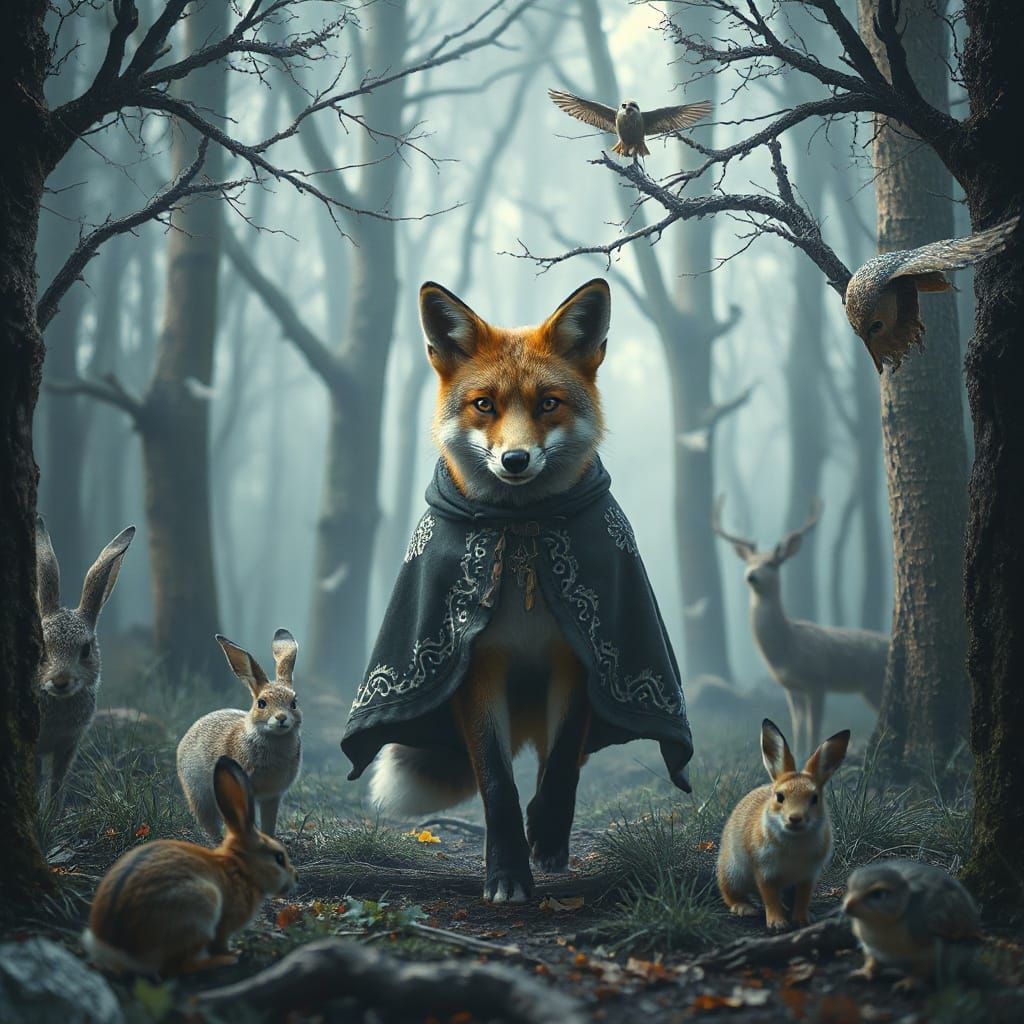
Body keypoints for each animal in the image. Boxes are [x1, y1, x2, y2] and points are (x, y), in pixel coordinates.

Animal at [370, 279, 612, 903]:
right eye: (485, 405)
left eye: (548, 403)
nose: (516, 459)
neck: (522, 536)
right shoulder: (476, 664)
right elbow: (498, 787)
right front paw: (506, 874)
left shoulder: (578, 654)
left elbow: (561, 768)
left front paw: (546, 835)